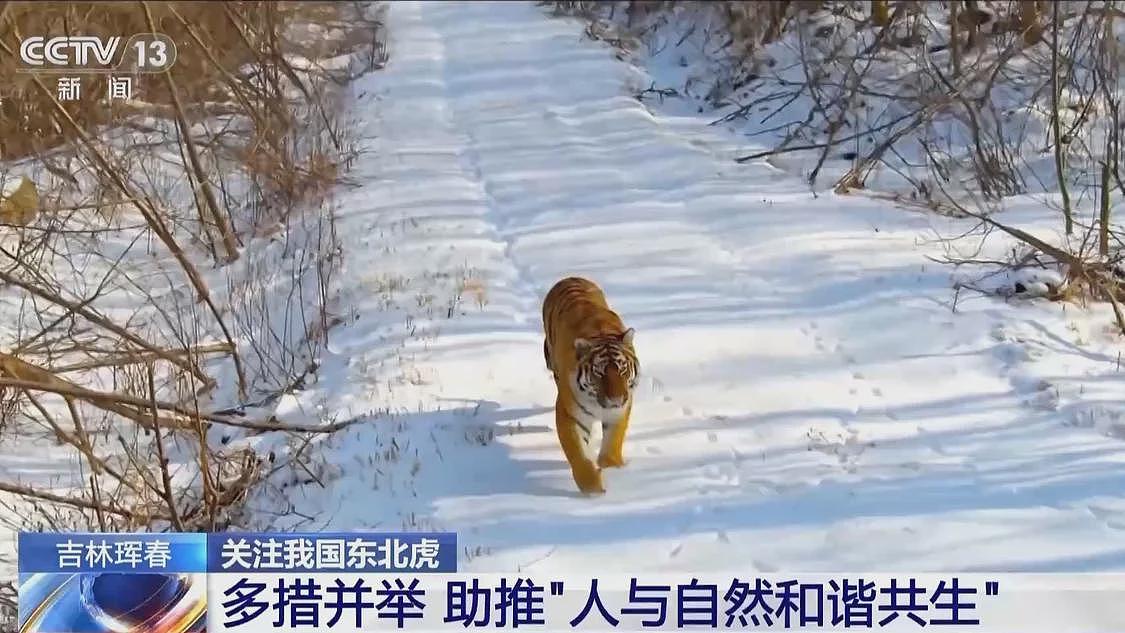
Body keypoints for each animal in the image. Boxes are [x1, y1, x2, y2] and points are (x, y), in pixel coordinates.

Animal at [541, 276, 639, 495]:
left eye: (622, 369)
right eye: (599, 373)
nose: (616, 399)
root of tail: (570, 277)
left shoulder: (620, 410)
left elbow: (613, 441)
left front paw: (612, 468)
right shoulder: (569, 414)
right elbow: (578, 454)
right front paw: (593, 490)